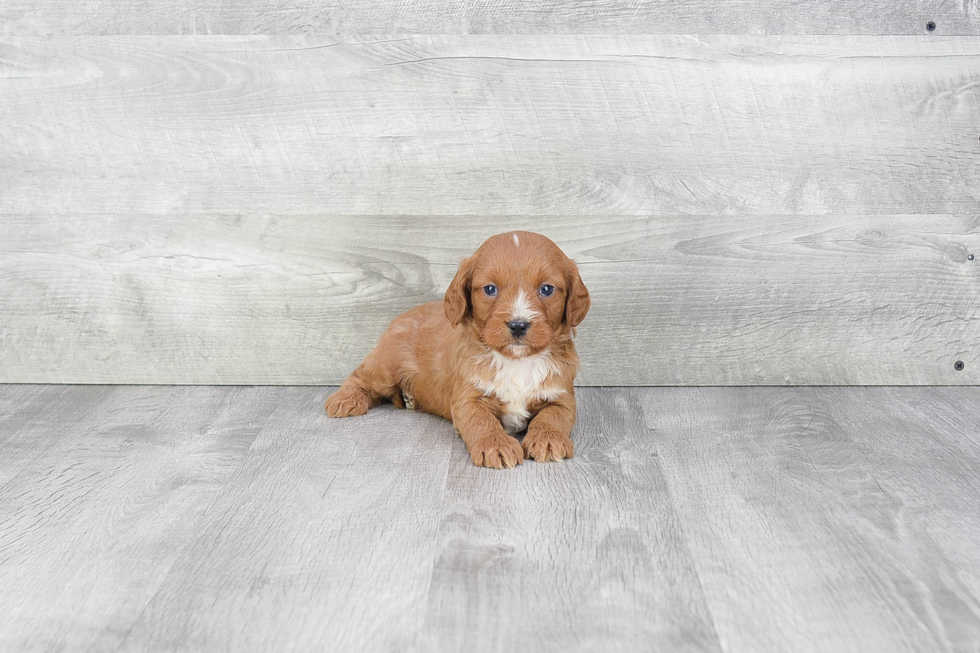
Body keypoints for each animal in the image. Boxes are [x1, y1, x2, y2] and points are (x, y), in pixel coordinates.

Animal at [328, 232, 588, 466]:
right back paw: (344, 400)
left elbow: (553, 417)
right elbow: (481, 421)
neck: (516, 360)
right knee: (360, 376)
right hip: (387, 365)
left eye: (546, 289)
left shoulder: (561, 395)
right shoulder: (467, 398)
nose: (518, 325)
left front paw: (548, 439)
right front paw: (496, 446)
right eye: (490, 289)